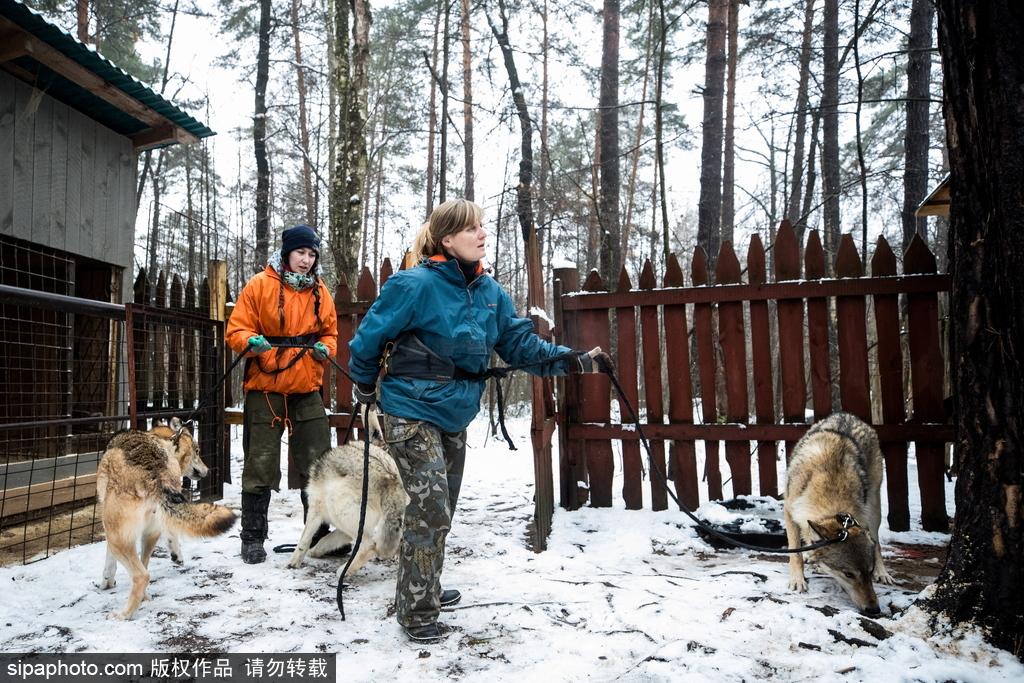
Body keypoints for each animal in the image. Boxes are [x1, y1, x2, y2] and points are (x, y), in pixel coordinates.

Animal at [96, 419, 235, 622]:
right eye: (197, 451)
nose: (208, 470)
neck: (162, 442)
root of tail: (156, 474)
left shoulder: (110, 529)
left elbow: (108, 560)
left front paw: (106, 581)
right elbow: (173, 534)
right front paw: (177, 556)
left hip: (117, 538)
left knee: (142, 575)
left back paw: (123, 615)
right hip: (148, 533)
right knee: (146, 567)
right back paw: (144, 597)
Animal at [288, 432, 407, 581]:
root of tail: (389, 476)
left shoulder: (315, 510)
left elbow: (304, 540)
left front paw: (293, 563)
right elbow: (327, 539)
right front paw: (314, 552)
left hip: (336, 505)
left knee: (370, 545)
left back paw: (343, 572)